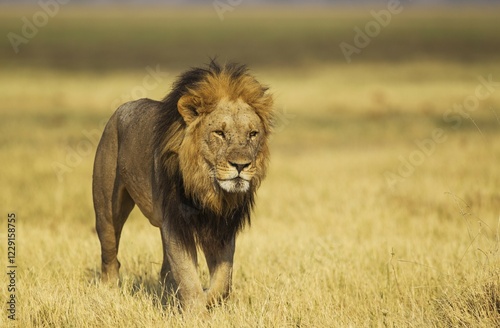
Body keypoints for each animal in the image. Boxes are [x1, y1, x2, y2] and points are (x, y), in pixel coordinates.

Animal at [92, 60, 276, 312]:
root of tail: (120, 109)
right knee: (110, 255)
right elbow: (188, 276)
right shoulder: (176, 223)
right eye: (219, 133)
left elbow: (223, 282)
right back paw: (108, 291)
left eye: (252, 134)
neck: (208, 188)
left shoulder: (221, 227)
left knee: (164, 270)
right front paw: (196, 311)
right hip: (107, 211)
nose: (241, 165)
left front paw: (206, 299)